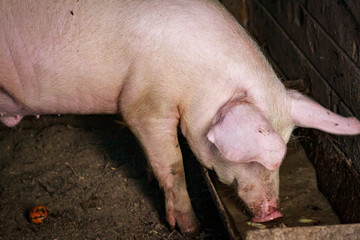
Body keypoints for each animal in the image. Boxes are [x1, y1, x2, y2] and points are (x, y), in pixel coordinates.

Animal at [0, 0, 360, 235]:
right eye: (252, 158)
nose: (275, 212)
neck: (199, 78)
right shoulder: (145, 105)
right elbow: (173, 163)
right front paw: (191, 229)